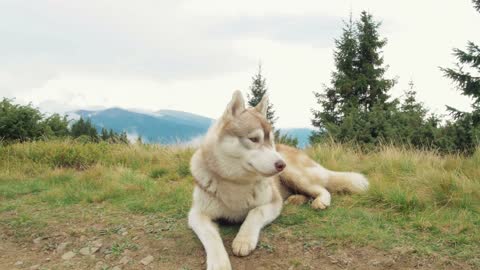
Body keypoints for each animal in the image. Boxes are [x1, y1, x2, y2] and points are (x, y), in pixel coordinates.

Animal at [188, 90, 368, 270]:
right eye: (254, 139)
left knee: (322, 188)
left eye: (271, 141)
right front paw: (219, 262)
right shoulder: (196, 214)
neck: (237, 182)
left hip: (295, 176)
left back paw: (320, 201)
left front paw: (243, 239)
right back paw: (296, 199)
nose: (281, 164)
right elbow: (210, 236)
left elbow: (255, 212)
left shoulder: (273, 202)